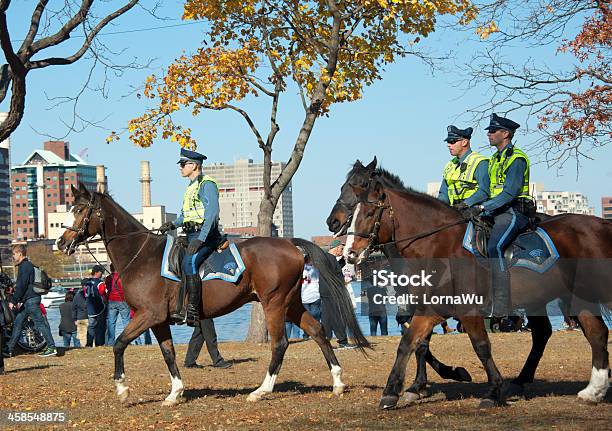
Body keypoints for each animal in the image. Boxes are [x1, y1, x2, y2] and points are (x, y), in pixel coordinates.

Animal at [57, 184, 368, 406]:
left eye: (81, 210)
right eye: (69, 209)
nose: (61, 242)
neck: (142, 256)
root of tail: (289, 243)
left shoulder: (148, 315)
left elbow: (119, 343)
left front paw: (122, 388)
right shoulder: (158, 320)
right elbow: (168, 353)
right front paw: (175, 393)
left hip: (274, 304)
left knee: (280, 344)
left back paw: (262, 390)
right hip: (290, 304)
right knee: (317, 331)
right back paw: (338, 382)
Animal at [342, 164, 608, 410]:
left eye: (369, 212)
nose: (349, 253)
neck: (439, 245)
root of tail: (602, 224)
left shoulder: (468, 310)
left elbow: (481, 347)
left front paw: (493, 391)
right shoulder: (430, 309)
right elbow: (409, 343)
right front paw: (393, 392)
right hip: (569, 298)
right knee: (592, 333)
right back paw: (591, 390)